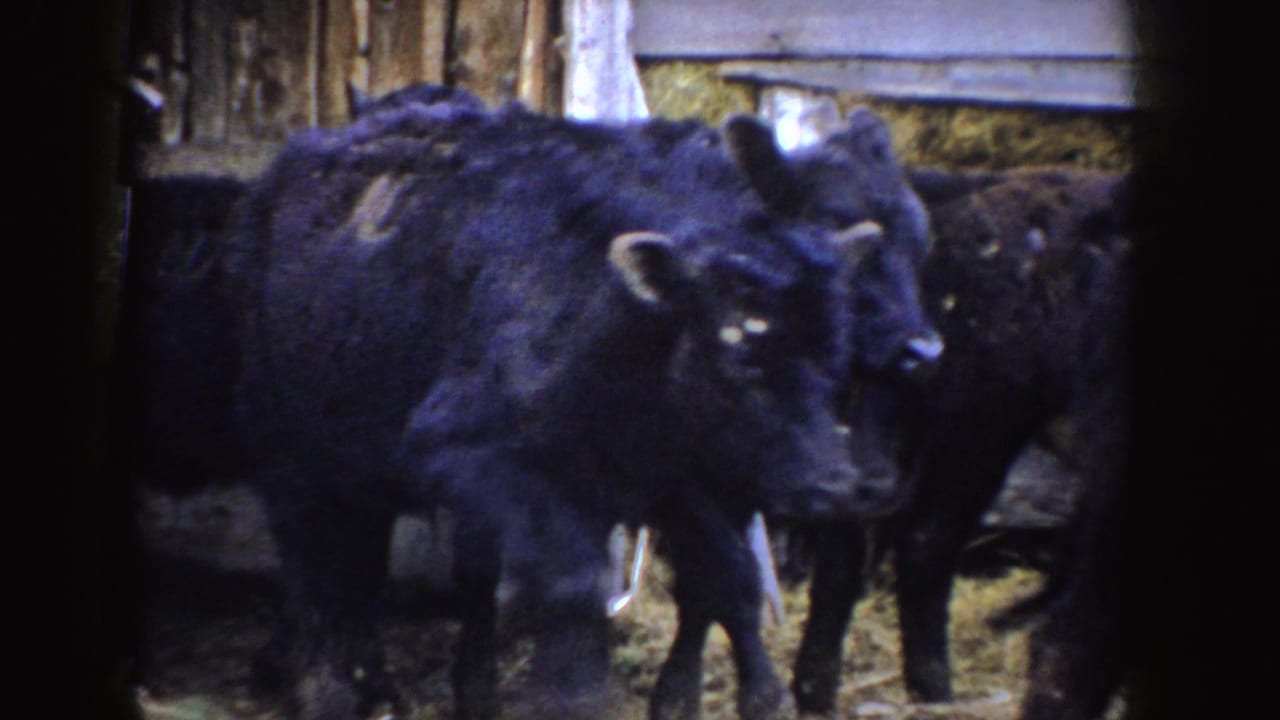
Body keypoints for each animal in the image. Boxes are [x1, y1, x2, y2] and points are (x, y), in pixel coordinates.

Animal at [221, 94, 894, 720]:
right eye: (740, 350)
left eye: (835, 351)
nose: (832, 483)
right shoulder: (481, 459)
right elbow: (570, 590)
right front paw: (570, 696)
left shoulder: (669, 476)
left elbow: (731, 576)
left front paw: (765, 696)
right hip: (292, 461)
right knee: (318, 573)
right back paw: (330, 689)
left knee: (377, 567)